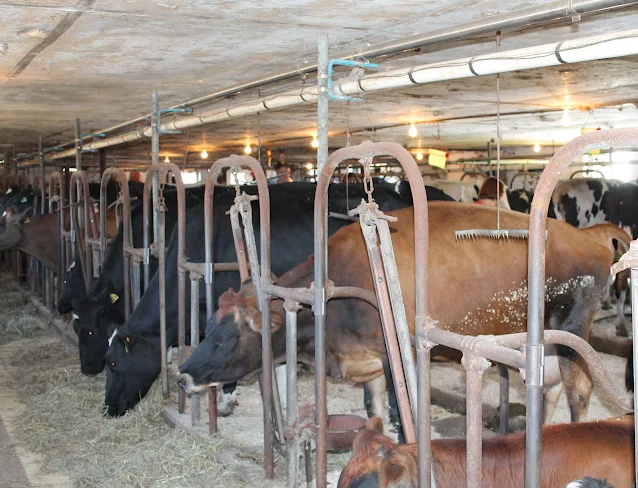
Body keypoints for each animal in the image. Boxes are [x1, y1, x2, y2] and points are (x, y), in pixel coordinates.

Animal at [178, 202, 616, 424]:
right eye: (206, 327)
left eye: (224, 337)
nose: (182, 376)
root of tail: (588, 238)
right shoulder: (367, 361)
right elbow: (374, 412)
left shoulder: (395, 356)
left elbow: (397, 412)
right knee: (550, 388)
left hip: (573, 333)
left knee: (578, 393)